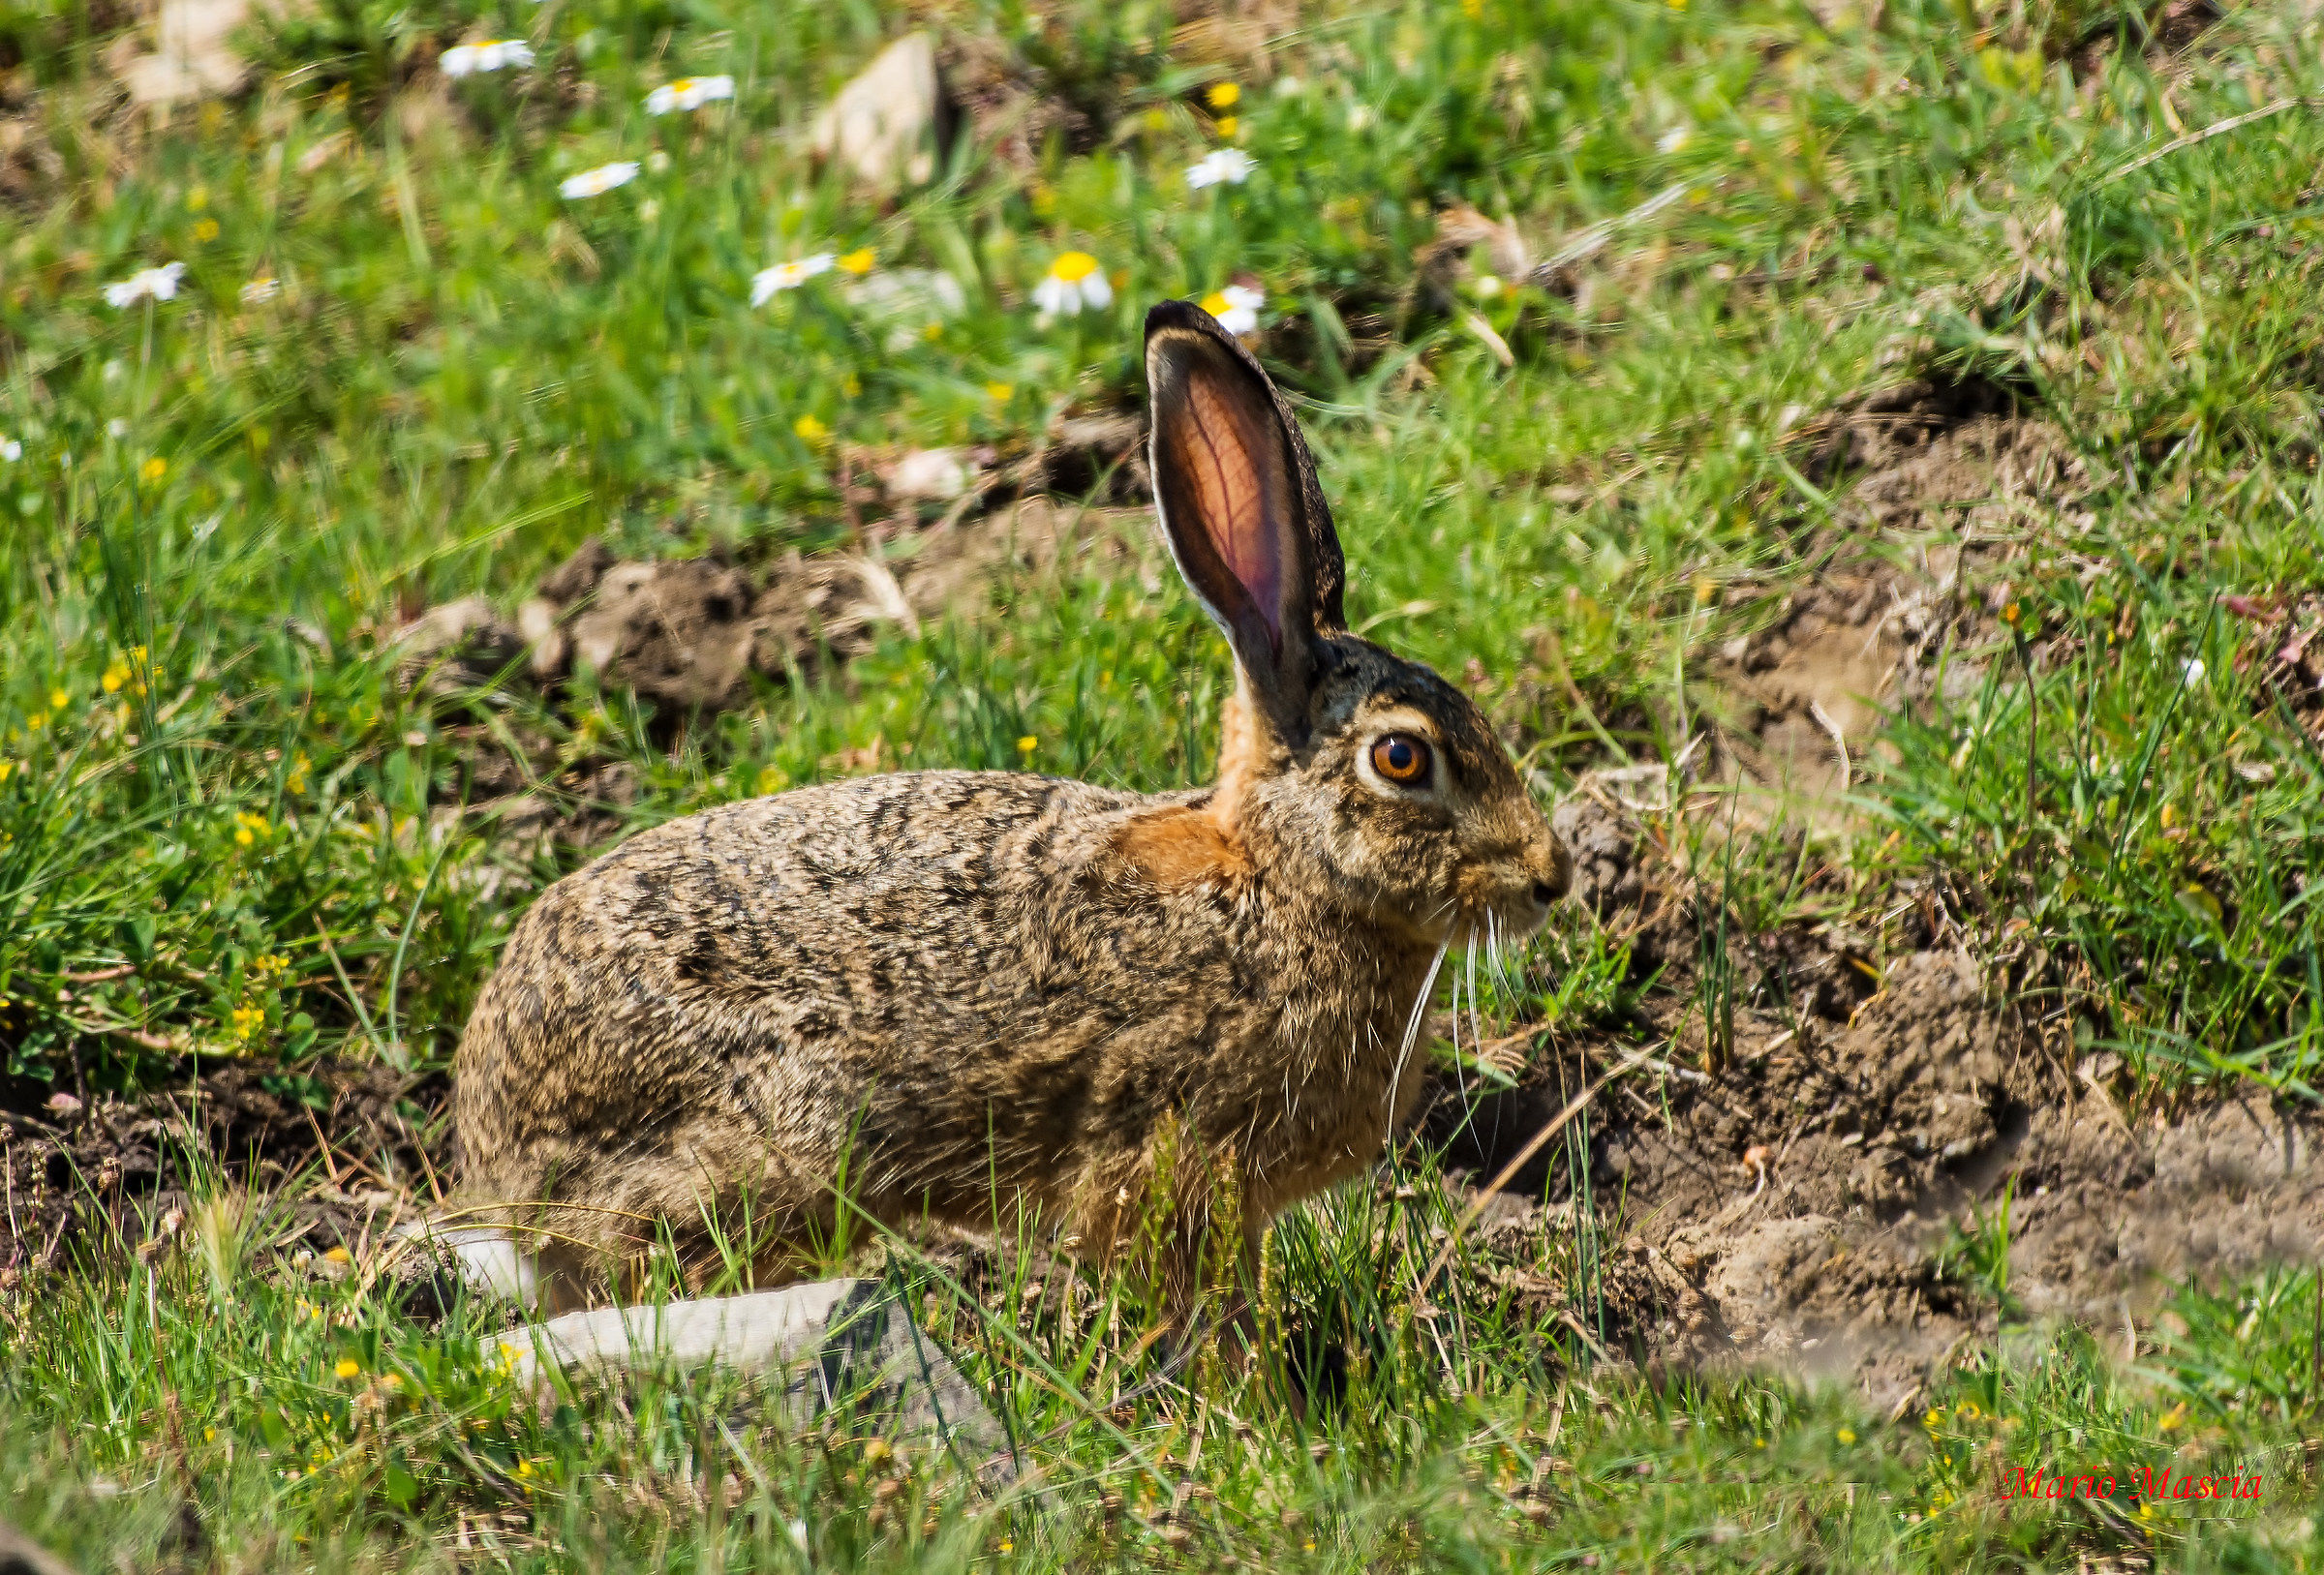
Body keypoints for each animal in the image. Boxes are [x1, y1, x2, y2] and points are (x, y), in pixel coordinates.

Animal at [448, 300, 1572, 1321]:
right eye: (1402, 757)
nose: (1549, 877)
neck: (1278, 883)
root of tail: (498, 1164)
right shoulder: (1163, 1157)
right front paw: (1251, 1398)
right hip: (786, 1136)